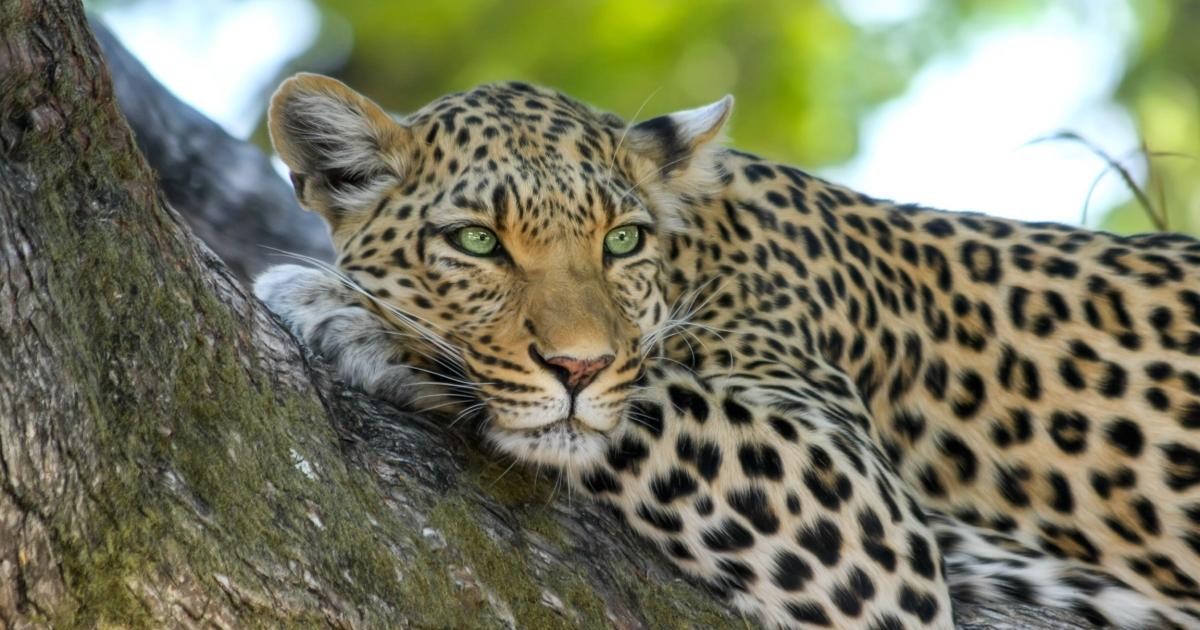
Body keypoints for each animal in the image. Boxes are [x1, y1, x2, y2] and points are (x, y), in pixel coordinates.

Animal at [253, 72, 1200, 628]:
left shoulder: (862, 513)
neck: (699, 251)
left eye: (622, 241)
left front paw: (350, 313)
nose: (579, 367)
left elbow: (652, 397)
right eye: (478, 243)